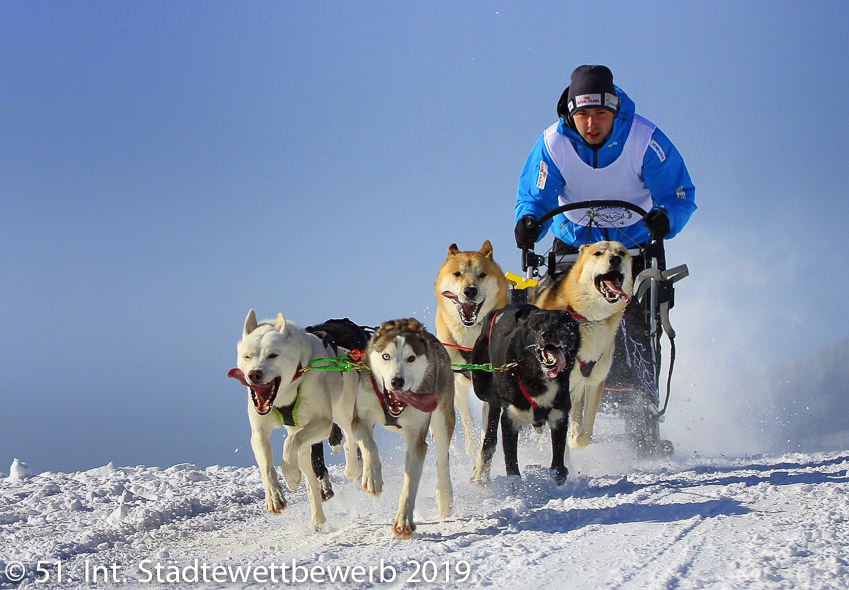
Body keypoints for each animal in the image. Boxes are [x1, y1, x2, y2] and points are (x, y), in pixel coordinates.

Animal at [434, 243, 506, 456]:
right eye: (457, 274)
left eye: (482, 274)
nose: (470, 291)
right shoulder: (456, 380)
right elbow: (466, 416)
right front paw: (473, 447)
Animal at [468, 302, 580, 488]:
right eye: (537, 326)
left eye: (560, 324)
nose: (546, 335)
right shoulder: (510, 418)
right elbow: (512, 466)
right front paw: (517, 488)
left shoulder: (559, 416)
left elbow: (558, 465)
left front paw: (559, 479)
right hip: (483, 387)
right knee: (489, 436)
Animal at [532, 243, 632, 450]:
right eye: (598, 253)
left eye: (622, 253)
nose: (615, 259)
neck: (589, 319)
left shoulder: (595, 382)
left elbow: (585, 435)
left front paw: (574, 438)